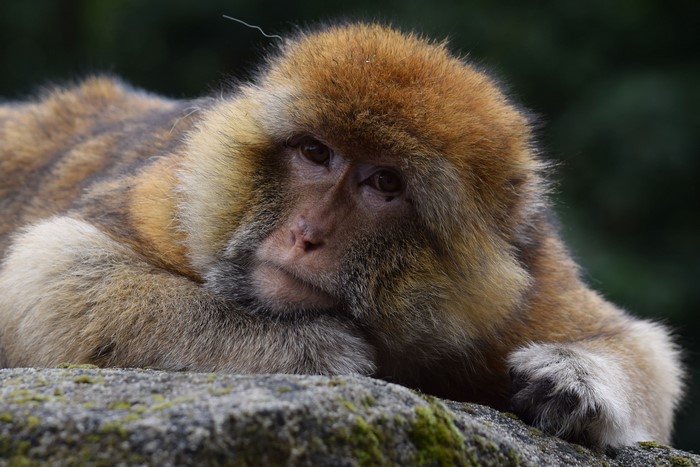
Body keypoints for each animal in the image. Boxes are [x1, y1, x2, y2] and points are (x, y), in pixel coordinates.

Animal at [0, 23, 683, 448]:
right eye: (315, 153)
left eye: (384, 183)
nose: (306, 233)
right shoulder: (174, 200)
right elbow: (50, 274)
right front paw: (313, 350)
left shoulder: (527, 285)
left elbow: (640, 346)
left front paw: (573, 382)